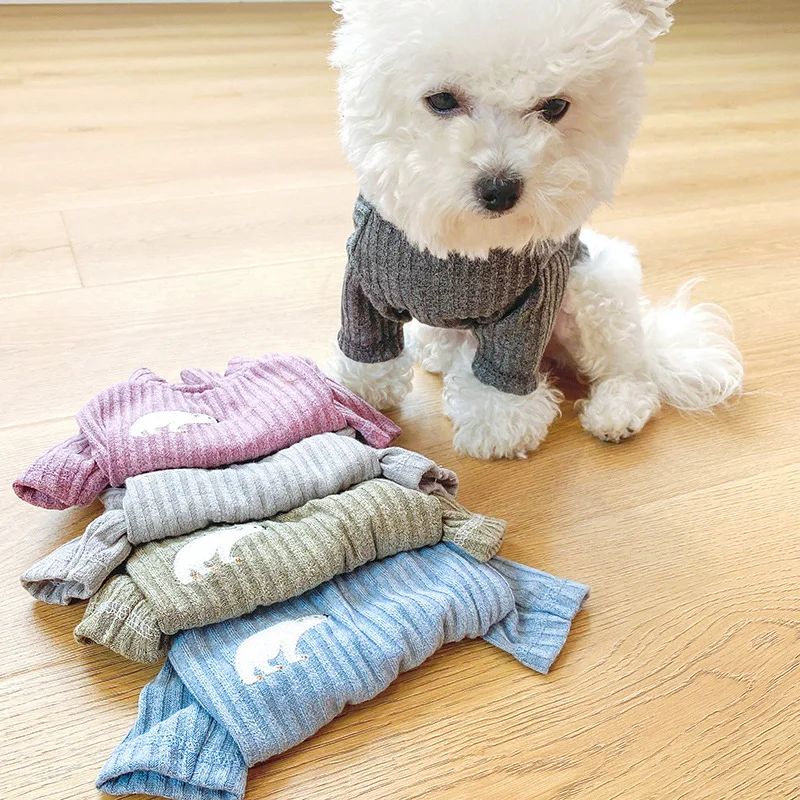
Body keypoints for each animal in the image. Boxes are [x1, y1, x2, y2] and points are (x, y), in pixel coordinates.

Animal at [328, 0, 743, 459]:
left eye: (554, 106)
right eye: (442, 99)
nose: (500, 189)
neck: (465, 246)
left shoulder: (533, 302)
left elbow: (505, 375)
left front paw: (497, 429)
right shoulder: (363, 280)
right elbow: (367, 348)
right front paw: (361, 394)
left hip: (593, 292)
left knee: (630, 373)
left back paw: (616, 412)